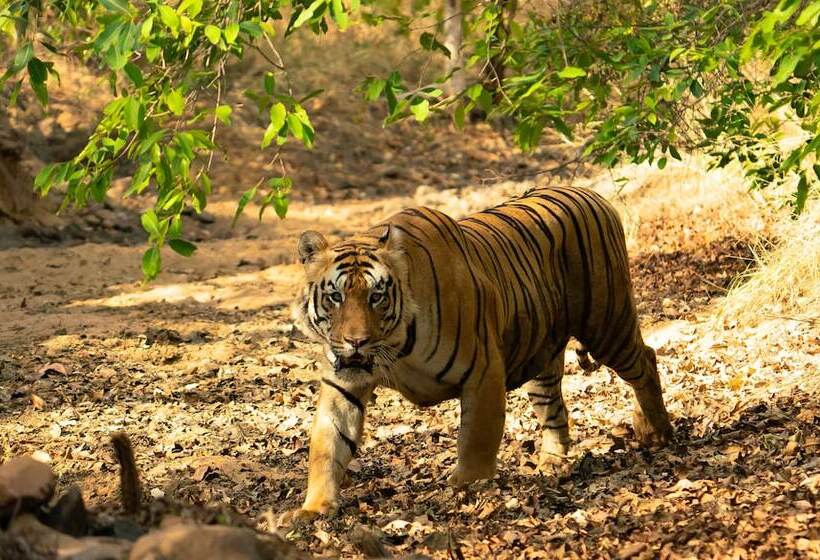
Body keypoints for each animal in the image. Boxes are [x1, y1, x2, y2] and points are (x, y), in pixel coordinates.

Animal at [280, 184, 674, 523]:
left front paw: (467, 487)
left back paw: (657, 431)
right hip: (542, 359)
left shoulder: (483, 372)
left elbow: (476, 437)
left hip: (608, 323)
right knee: (555, 410)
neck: (392, 348)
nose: (356, 341)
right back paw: (552, 462)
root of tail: (591, 193)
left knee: (646, 359)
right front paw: (314, 508)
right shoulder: (343, 385)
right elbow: (328, 445)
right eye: (335, 296)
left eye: (377, 296)